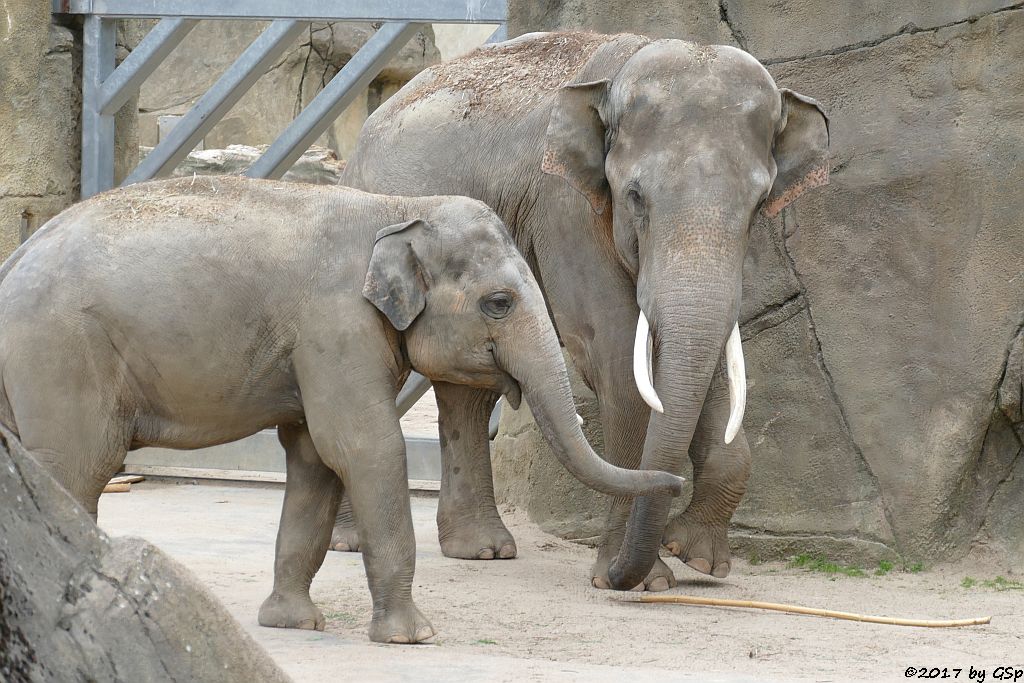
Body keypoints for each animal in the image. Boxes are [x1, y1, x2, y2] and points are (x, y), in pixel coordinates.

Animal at [337, 30, 831, 593]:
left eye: (758, 204)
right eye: (634, 196)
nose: (628, 573)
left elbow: (705, 362)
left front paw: (700, 559)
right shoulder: (565, 210)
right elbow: (620, 362)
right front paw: (643, 580)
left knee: (469, 390)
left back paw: (482, 550)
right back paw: (353, 542)